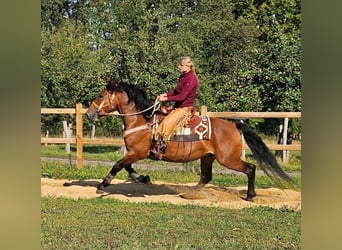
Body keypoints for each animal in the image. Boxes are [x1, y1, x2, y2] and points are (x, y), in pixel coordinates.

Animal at [85, 79, 292, 200]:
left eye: (101, 95)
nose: (89, 113)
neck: (142, 120)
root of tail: (234, 125)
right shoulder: (134, 153)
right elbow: (127, 167)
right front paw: (143, 178)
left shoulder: (137, 152)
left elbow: (117, 165)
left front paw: (102, 185)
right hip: (208, 158)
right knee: (206, 177)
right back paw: (189, 192)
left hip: (228, 159)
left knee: (251, 168)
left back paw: (250, 195)